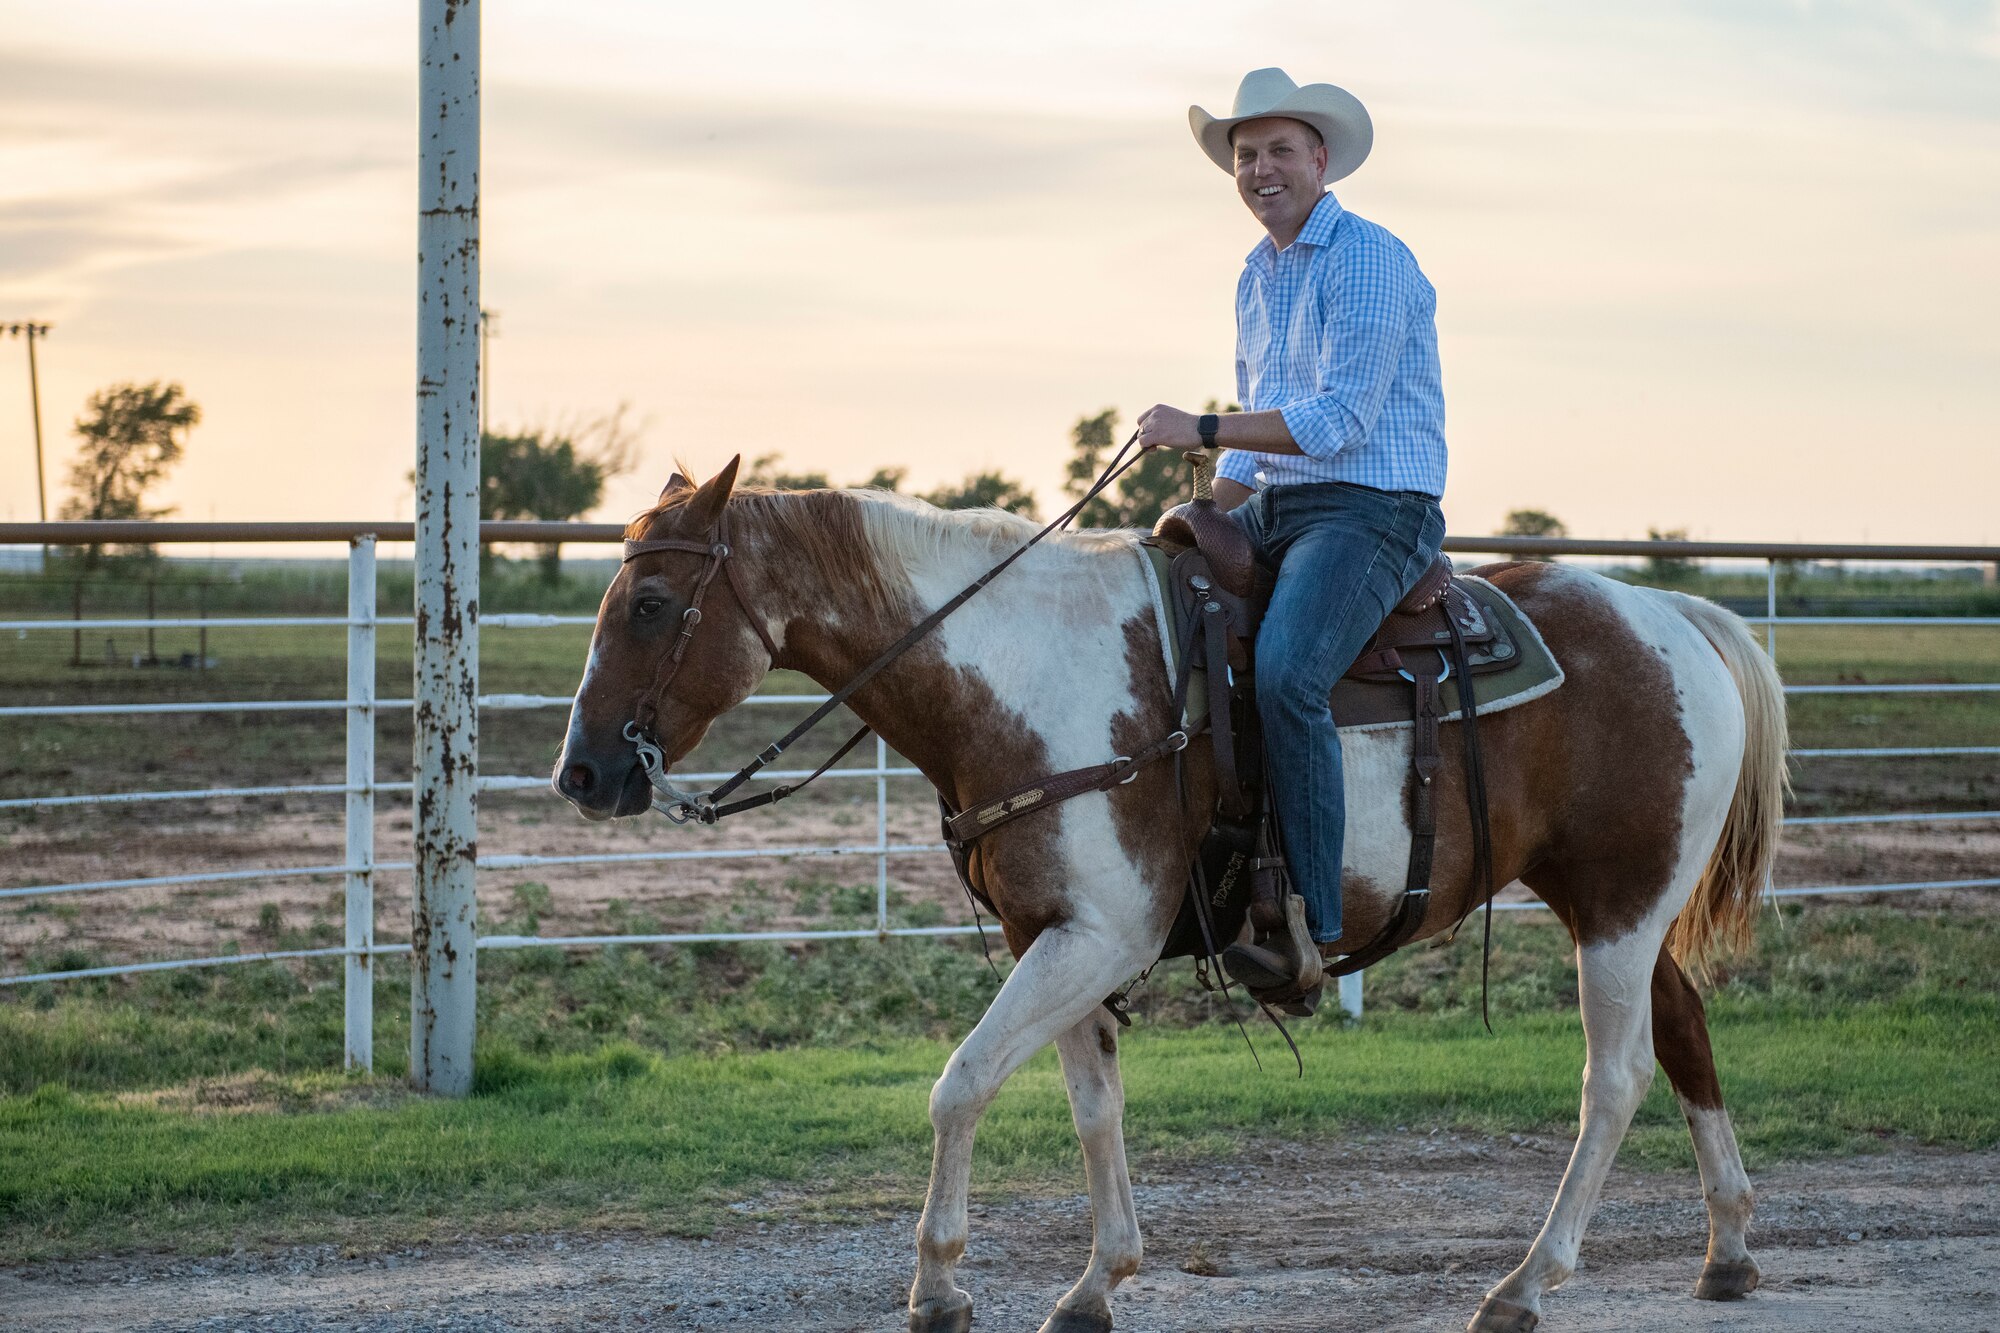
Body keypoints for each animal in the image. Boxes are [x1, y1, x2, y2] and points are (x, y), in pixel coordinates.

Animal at [556, 460, 1792, 1328]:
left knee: (1614, 1079)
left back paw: (1525, 1285)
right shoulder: (1056, 934)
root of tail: (1678, 617)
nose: (583, 775)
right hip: (1612, 904)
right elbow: (1091, 1106)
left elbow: (959, 1084)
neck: (1020, 677)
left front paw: (939, 1288)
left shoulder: (1100, 935)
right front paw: (1096, 1283)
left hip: (1618, 909)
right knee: (1683, 1029)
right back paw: (1727, 1248)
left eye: (653, 602)